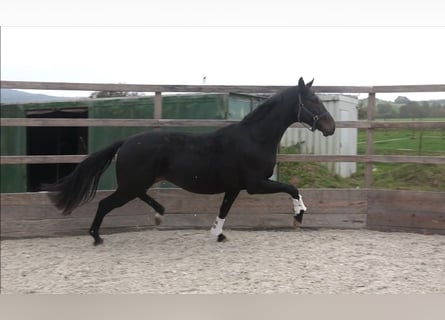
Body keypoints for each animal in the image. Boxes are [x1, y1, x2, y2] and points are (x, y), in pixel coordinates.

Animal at [44, 78, 332, 245]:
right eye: (313, 100)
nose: (331, 126)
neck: (254, 138)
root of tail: (126, 142)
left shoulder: (234, 187)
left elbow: (224, 210)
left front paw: (218, 234)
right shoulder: (255, 184)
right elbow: (291, 188)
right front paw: (299, 216)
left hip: (137, 183)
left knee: (139, 197)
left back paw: (159, 214)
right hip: (131, 185)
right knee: (105, 203)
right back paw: (96, 236)